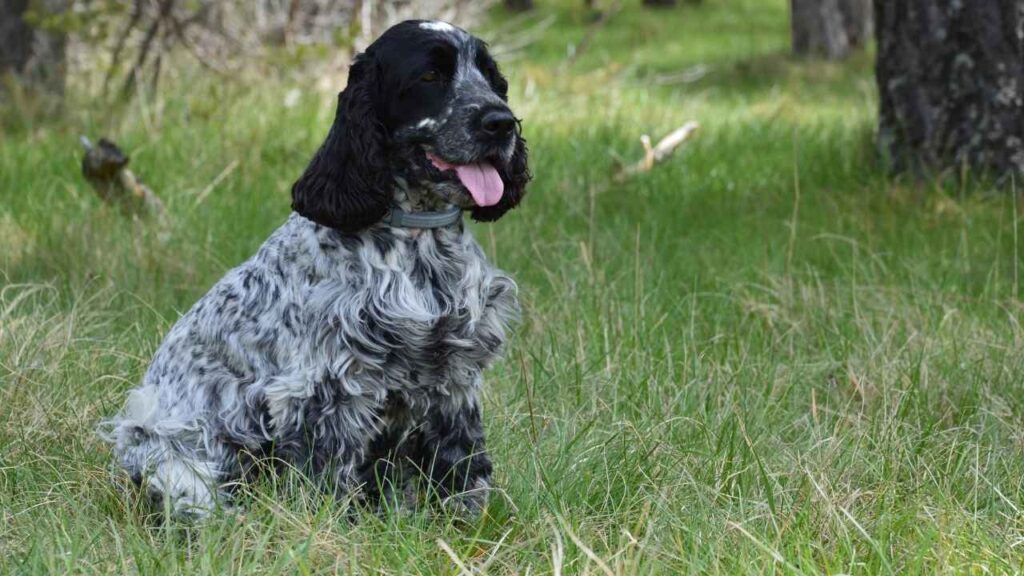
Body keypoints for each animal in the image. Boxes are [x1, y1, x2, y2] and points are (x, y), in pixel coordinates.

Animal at [102, 21, 532, 516]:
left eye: (492, 78)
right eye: (430, 76)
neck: (419, 239)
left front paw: (468, 519)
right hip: (176, 455)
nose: (502, 122)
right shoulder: (324, 386)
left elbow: (461, 460)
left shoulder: (454, 373)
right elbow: (327, 472)